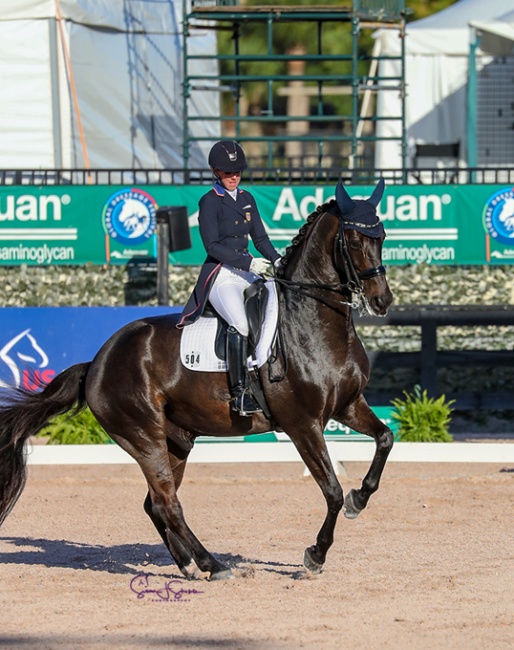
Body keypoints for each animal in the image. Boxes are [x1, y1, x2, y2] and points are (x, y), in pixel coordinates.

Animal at [1, 177, 392, 576]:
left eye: (381, 237)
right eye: (354, 240)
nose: (382, 301)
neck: (313, 320)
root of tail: (96, 362)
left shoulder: (348, 406)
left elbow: (385, 438)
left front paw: (359, 498)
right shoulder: (303, 424)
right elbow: (332, 491)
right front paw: (316, 554)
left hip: (177, 441)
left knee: (156, 503)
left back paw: (190, 563)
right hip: (144, 438)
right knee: (167, 502)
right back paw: (213, 565)